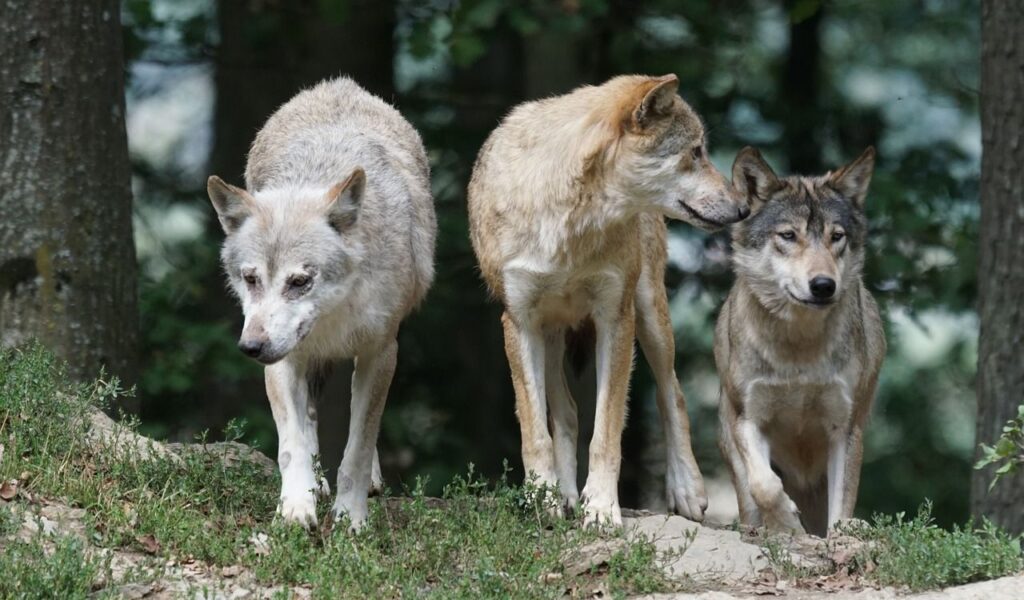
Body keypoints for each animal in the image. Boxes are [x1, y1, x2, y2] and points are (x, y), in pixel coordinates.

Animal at [206, 77, 436, 530]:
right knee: (309, 417)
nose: (250, 347)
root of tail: (338, 84)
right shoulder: (283, 360)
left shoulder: (381, 352)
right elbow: (291, 444)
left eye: (300, 282)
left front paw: (351, 518)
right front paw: (296, 507)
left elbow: (358, 448)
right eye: (251, 279)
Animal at [468, 74, 750, 526]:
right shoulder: (519, 322)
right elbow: (535, 431)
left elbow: (606, 431)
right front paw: (543, 499)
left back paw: (686, 490)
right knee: (565, 412)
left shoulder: (615, 318)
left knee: (672, 393)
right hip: (551, 334)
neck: (570, 222)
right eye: (695, 152)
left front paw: (600, 508)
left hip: (650, 315)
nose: (743, 208)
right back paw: (564, 496)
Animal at [715, 147, 885, 536]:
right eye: (789, 235)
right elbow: (764, 485)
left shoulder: (845, 428)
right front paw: (787, 523)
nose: (823, 285)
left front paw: (838, 535)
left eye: (836, 236)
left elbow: (842, 509)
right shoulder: (748, 417)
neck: (799, 349)